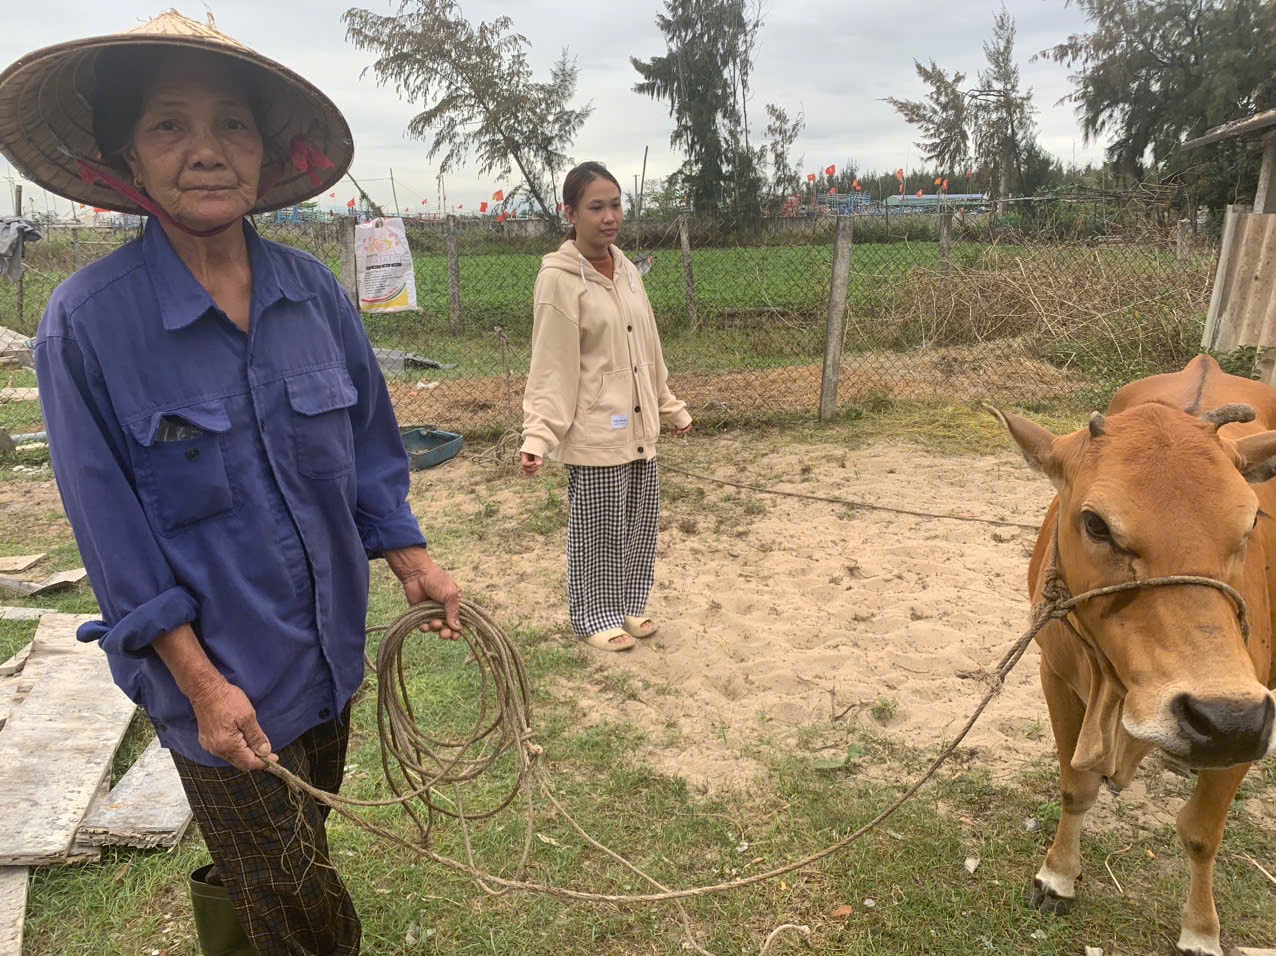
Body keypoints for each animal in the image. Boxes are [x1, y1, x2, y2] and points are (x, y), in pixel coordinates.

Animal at [995, 357, 1276, 954]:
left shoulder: (1257, 712)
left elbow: (1201, 832)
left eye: (1251, 522)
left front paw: (1200, 930)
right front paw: (1058, 877)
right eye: (1096, 523)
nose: (1225, 720)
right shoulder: (1056, 676)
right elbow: (1075, 787)